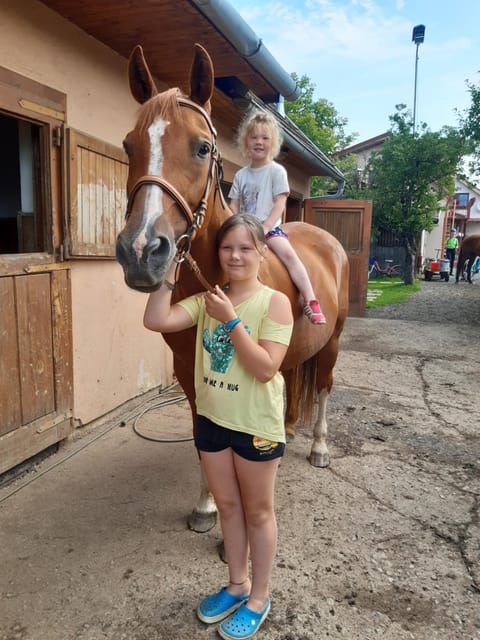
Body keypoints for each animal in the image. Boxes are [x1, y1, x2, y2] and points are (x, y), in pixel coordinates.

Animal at [116, 43, 350, 533]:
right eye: (129, 145)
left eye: (203, 147)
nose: (141, 249)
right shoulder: (187, 370)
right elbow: (204, 431)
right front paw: (207, 504)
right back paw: (289, 427)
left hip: (333, 340)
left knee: (323, 386)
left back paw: (318, 445)